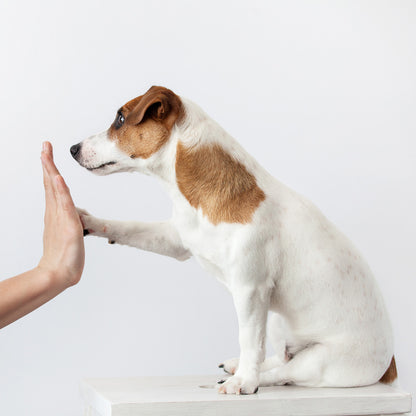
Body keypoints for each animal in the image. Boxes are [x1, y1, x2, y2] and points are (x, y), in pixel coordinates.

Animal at [70, 86, 396, 394]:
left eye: (120, 119)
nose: (73, 148)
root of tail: (390, 366)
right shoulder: (176, 240)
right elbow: (130, 228)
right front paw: (88, 221)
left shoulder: (250, 289)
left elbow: (249, 339)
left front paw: (245, 383)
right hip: (276, 320)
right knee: (279, 357)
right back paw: (239, 366)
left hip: (319, 360)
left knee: (285, 373)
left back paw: (247, 377)